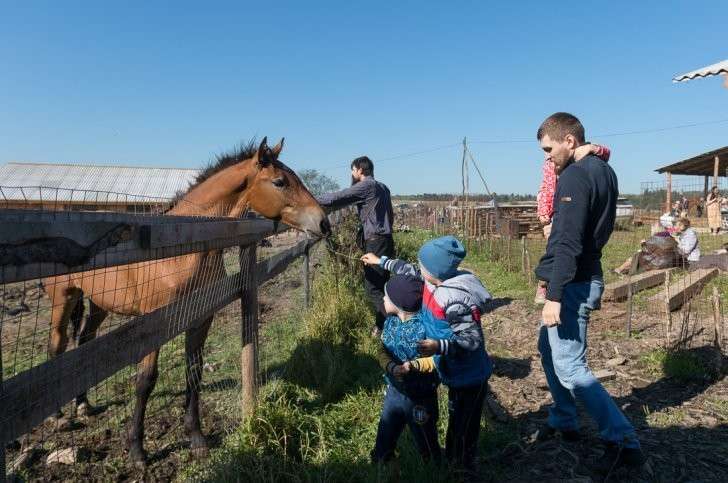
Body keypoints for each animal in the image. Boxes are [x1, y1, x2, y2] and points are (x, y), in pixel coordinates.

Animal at [43, 137, 330, 468]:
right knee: (57, 346)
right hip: (63, 299)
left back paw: (84, 405)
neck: (181, 248)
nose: (323, 223)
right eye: (280, 181)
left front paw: (196, 438)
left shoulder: (201, 317)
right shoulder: (153, 324)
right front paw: (137, 450)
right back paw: (59, 416)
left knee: (84, 340)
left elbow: (194, 371)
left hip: (99, 304)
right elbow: (145, 380)